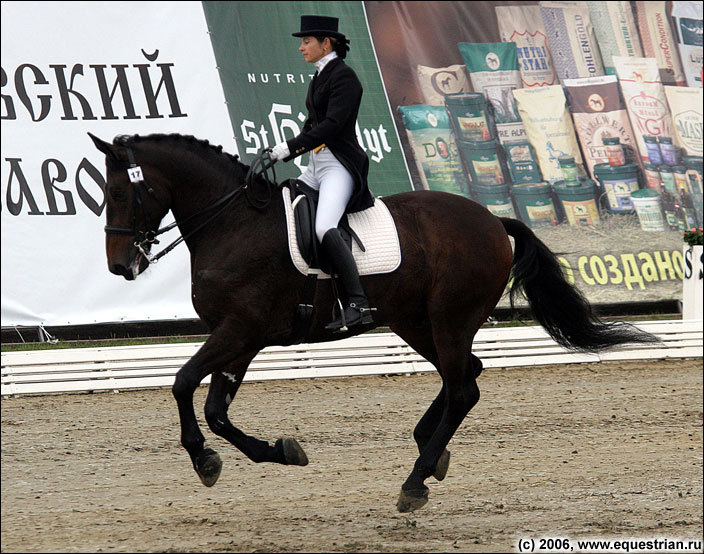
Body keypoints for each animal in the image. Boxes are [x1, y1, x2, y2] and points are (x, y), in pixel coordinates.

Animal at [88, 132, 656, 512]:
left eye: (118, 193)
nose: (120, 267)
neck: (233, 223)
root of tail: (493, 220)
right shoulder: (241, 338)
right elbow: (216, 410)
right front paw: (280, 452)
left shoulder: (239, 329)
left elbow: (184, 383)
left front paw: (204, 461)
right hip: (415, 321)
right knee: (464, 376)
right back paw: (430, 449)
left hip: (448, 318)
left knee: (462, 387)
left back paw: (416, 480)